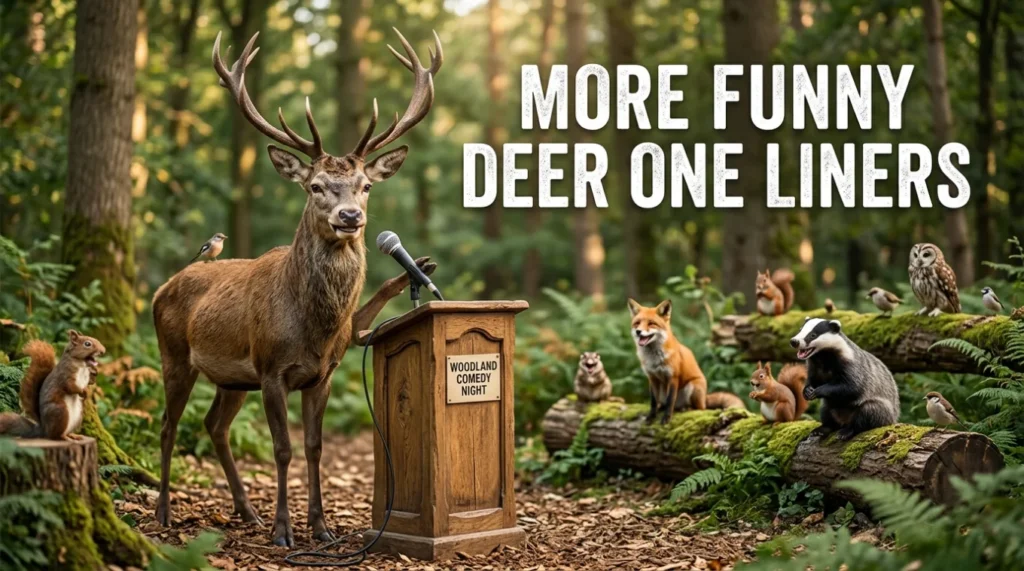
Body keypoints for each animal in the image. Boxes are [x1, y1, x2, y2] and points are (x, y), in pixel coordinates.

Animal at [152, 28, 442, 547]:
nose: (350, 216)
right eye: (316, 186)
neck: (314, 328)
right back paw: (165, 512)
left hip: (231, 377)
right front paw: (284, 531)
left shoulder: (321, 374)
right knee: (167, 426)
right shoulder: (271, 369)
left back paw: (247, 511)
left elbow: (313, 446)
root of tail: (160, 289)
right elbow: (282, 448)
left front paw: (321, 527)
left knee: (213, 424)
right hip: (175, 355)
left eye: (366, 185)